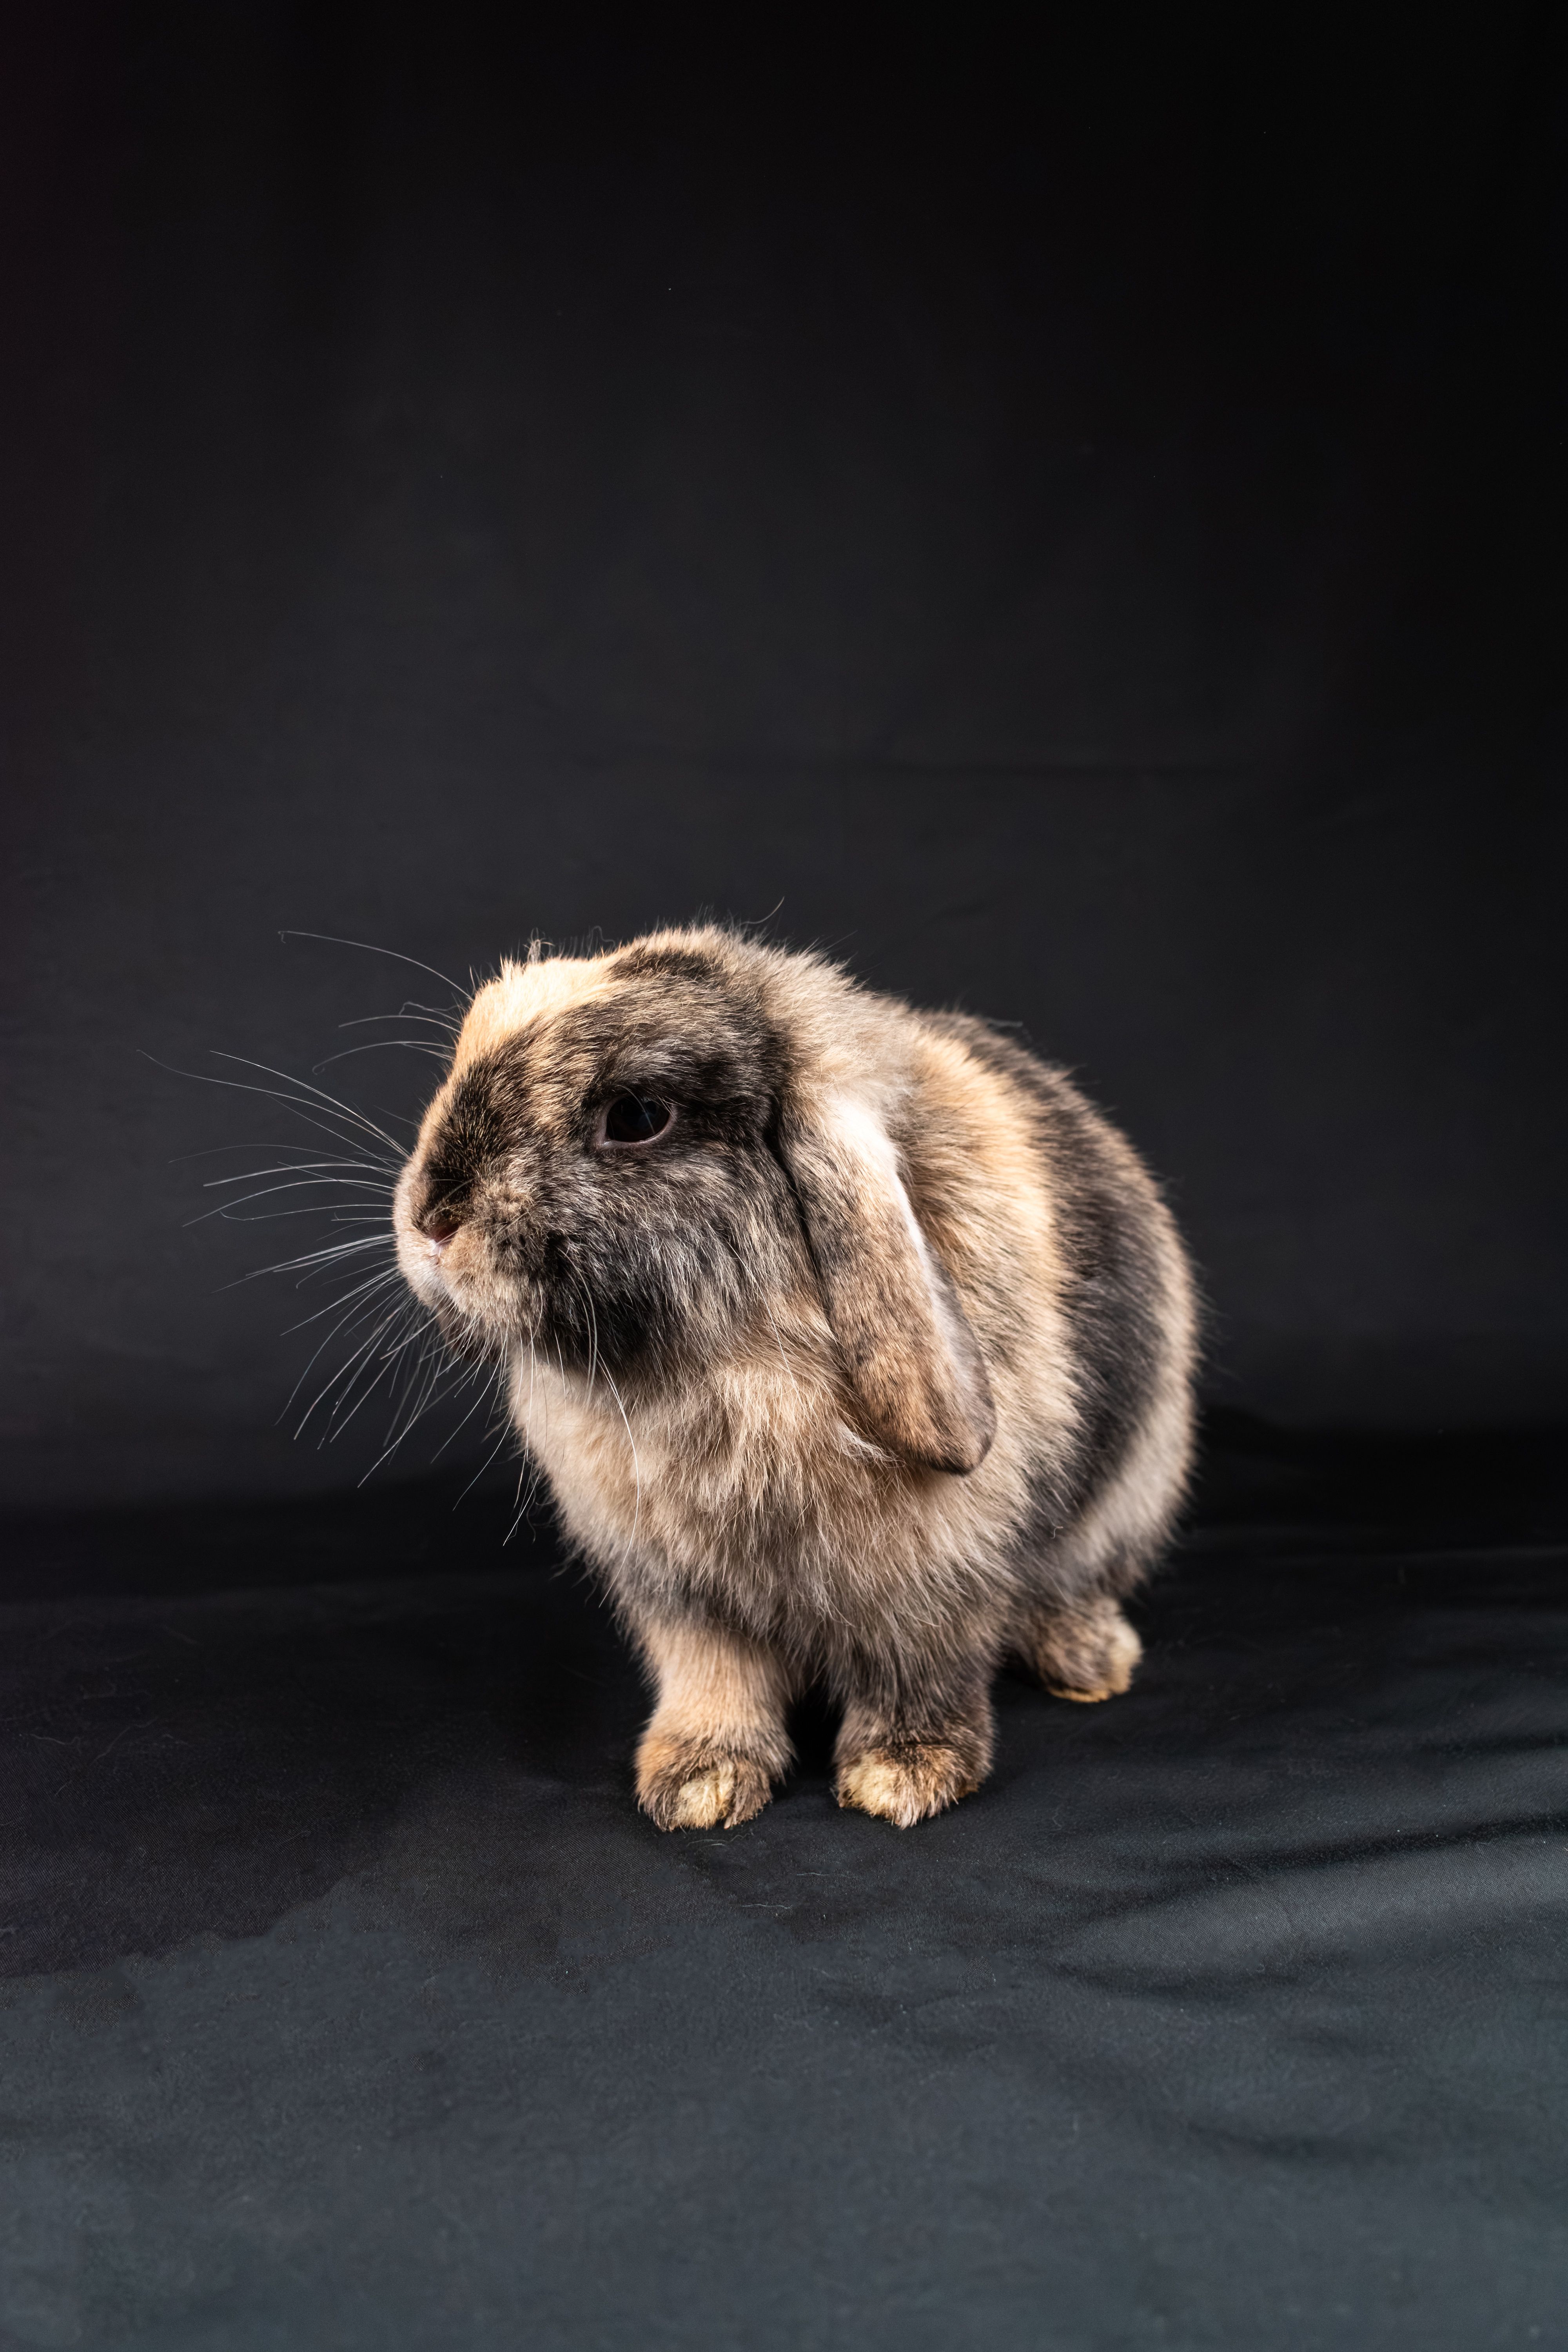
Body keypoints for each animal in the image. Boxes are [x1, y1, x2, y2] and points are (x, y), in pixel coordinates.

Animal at [392, 925, 1197, 1830]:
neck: (716, 1365)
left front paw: (900, 1776)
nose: (431, 1219)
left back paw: (1089, 1666)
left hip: (1131, 1494)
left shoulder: (931, 1583)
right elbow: (714, 1682)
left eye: (637, 1116)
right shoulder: (682, 1597)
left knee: (1075, 1586)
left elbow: (918, 1672)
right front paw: (697, 1786)